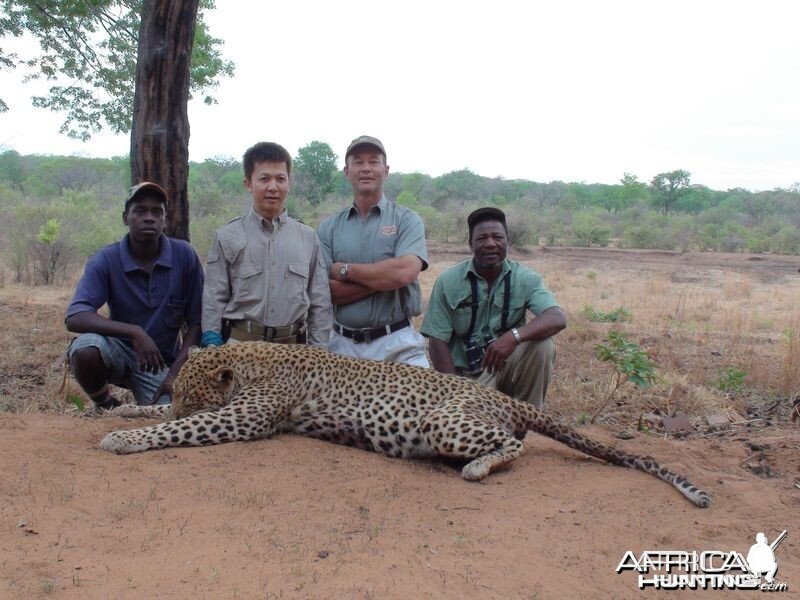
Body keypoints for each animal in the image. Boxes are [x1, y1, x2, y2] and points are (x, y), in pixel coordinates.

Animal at [101, 342, 712, 506]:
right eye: (176, 391)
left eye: (191, 394)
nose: (178, 400)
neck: (248, 359)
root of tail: (496, 396)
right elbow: (156, 417)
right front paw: (122, 409)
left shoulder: (241, 418)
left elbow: (174, 431)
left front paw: (121, 438)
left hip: (447, 424)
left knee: (513, 446)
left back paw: (478, 469)